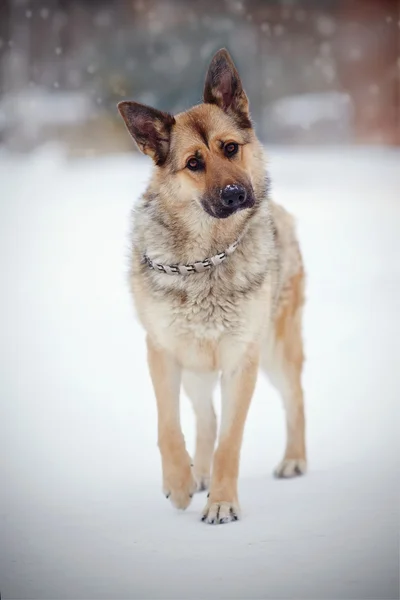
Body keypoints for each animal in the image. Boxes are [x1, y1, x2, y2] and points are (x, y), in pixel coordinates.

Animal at [117, 49, 308, 524]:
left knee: (295, 399)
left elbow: (230, 442)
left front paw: (222, 502)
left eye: (230, 148)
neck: (206, 258)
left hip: (275, 351)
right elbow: (168, 426)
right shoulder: (163, 352)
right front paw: (180, 483)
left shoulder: (242, 360)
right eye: (193, 163)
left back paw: (294, 459)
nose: (238, 194)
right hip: (196, 368)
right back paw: (196, 473)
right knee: (205, 418)